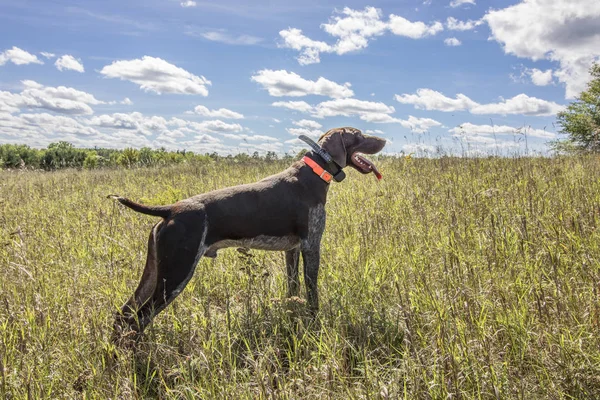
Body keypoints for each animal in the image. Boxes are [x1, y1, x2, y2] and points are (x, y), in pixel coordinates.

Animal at [110, 126, 386, 340]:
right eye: (358, 135)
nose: (384, 140)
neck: (315, 173)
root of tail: (169, 210)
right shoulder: (311, 246)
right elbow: (312, 292)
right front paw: (315, 322)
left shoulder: (292, 250)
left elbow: (293, 288)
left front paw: (293, 316)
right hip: (176, 273)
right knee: (139, 319)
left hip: (154, 272)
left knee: (124, 314)